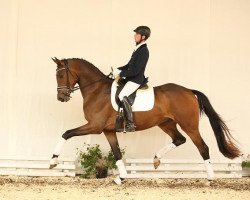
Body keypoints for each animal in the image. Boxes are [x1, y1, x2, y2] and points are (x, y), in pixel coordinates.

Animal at [50, 57, 240, 184]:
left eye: (60, 76)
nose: (61, 97)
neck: (97, 90)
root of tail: (188, 90)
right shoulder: (108, 130)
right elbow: (117, 153)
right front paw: (121, 178)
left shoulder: (95, 126)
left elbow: (66, 133)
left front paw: (53, 160)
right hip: (166, 123)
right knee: (179, 139)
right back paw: (156, 159)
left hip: (189, 125)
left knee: (202, 147)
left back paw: (210, 178)